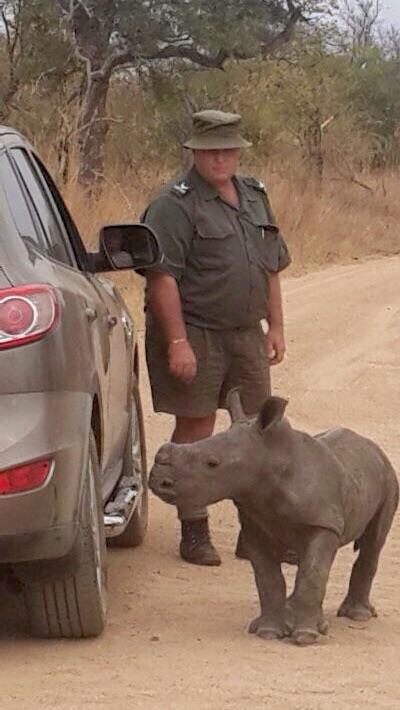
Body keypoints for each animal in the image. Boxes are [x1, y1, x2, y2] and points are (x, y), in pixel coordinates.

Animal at [150, 392, 396, 648]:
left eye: (212, 463)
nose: (158, 481)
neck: (271, 459)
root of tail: (372, 446)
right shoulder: (254, 524)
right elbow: (268, 578)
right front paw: (268, 632)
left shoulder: (322, 522)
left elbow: (312, 575)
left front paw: (305, 637)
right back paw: (304, 616)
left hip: (388, 477)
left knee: (372, 543)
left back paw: (356, 616)